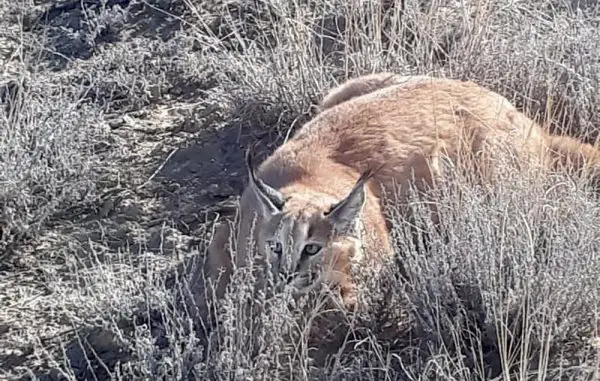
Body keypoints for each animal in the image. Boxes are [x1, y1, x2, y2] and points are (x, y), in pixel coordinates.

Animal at [195, 71, 596, 312]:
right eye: (274, 246)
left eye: (313, 248)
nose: (287, 274)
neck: (308, 178)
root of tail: (531, 125)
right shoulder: (228, 233)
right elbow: (221, 274)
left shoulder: (375, 259)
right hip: (344, 90)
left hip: (487, 185)